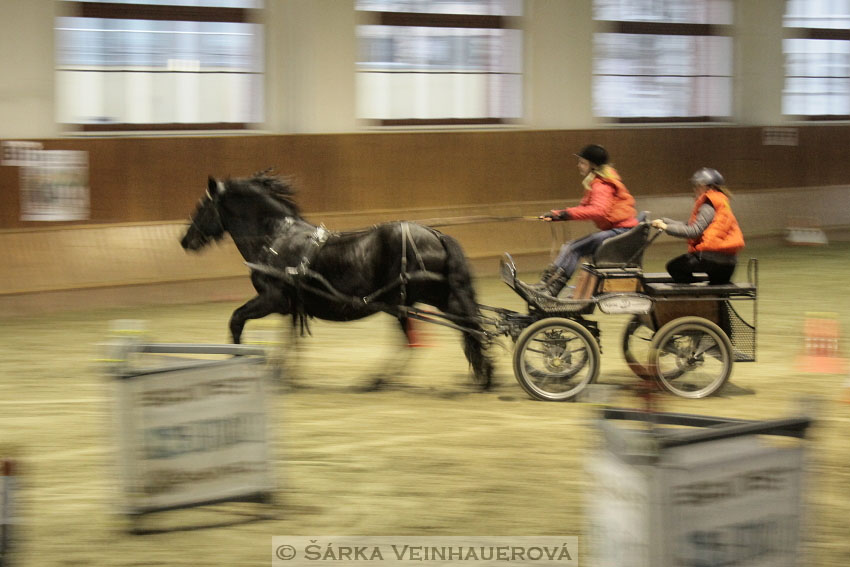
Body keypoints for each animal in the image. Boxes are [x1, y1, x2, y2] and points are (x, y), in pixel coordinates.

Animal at [182, 171, 494, 388]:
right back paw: (486, 374)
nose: (185, 240)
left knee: (423, 338)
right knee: (466, 328)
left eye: (202, 207)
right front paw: (283, 372)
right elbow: (290, 339)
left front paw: (242, 362)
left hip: (404, 302)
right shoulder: (291, 306)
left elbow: (236, 320)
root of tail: (436, 234)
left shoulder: (272, 299)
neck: (274, 238)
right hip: (432, 299)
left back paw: (378, 380)